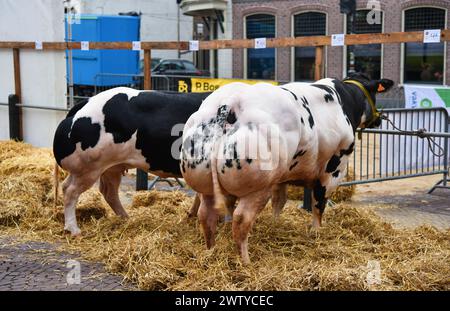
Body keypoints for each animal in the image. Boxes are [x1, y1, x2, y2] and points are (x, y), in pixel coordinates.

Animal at [53, 86, 210, 235]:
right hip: (89, 169)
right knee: (71, 191)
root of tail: (86, 102)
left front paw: (192, 215)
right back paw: (73, 229)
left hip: (109, 168)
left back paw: (125, 218)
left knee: (105, 192)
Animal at [181, 73, 392, 264]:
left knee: (206, 215)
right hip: (258, 187)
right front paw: (316, 231)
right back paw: (246, 262)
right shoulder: (333, 170)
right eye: (375, 94)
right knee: (241, 219)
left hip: (205, 183)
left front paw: (275, 224)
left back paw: (210, 251)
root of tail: (230, 103)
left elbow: (279, 201)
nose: (380, 119)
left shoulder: (281, 178)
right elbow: (319, 203)